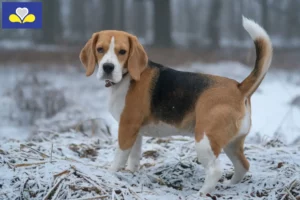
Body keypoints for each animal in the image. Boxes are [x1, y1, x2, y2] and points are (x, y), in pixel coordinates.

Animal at [79, 16, 272, 195]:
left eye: (122, 51)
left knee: (215, 170)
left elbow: (119, 157)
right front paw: (131, 174)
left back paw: (200, 193)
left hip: (204, 140)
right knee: (243, 166)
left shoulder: (126, 128)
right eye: (100, 49)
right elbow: (134, 158)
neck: (127, 77)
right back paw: (229, 185)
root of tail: (239, 87)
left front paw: (111, 174)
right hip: (231, 143)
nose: (108, 67)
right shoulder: (135, 132)